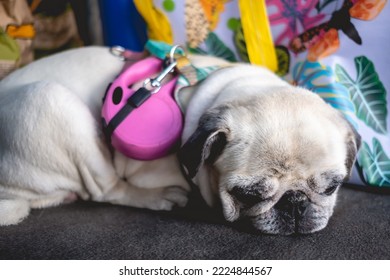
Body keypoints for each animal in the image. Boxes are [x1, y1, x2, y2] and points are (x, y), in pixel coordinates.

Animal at [0, 46, 360, 234]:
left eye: (332, 187)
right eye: (248, 194)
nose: (295, 201)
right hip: (49, 99)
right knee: (106, 189)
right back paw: (157, 197)